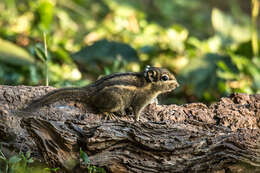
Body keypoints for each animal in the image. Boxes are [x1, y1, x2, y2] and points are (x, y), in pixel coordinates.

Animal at [21, 65, 179, 121]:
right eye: (165, 78)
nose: (177, 85)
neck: (148, 84)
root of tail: (91, 90)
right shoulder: (141, 100)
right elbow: (137, 111)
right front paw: (139, 120)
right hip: (115, 100)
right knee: (98, 108)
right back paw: (109, 113)